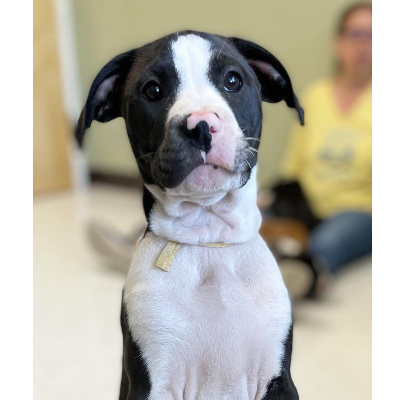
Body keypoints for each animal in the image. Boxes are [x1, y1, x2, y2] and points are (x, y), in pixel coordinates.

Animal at [76, 31, 304, 400]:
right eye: (153, 90)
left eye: (232, 80)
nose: (200, 126)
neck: (207, 242)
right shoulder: (152, 381)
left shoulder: (277, 378)